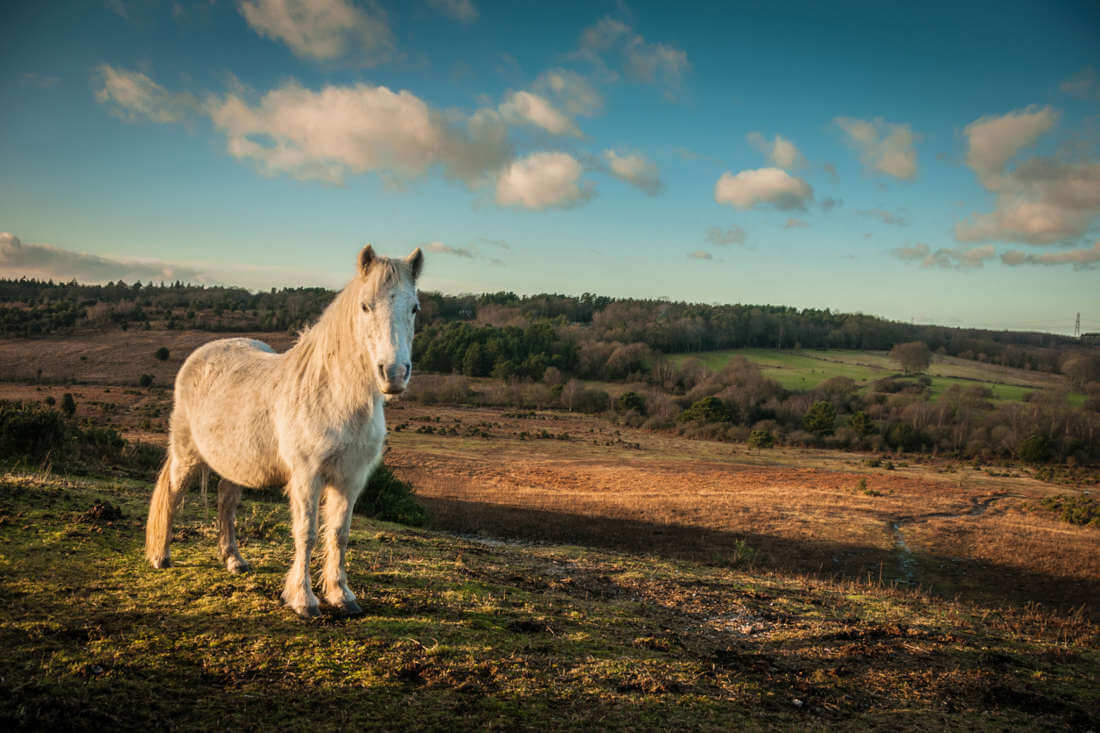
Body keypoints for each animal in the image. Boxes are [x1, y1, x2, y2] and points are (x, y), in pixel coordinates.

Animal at [145, 245, 423, 618]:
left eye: (414, 308)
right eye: (366, 305)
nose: (393, 374)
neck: (334, 394)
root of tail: (200, 355)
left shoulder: (350, 479)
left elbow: (339, 534)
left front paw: (341, 596)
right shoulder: (307, 476)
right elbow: (306, 533)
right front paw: (303, 600)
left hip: (235, 462)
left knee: (226, 501)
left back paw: (234, 560)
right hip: (186, 454)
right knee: (174, 493)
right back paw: (161, 556)